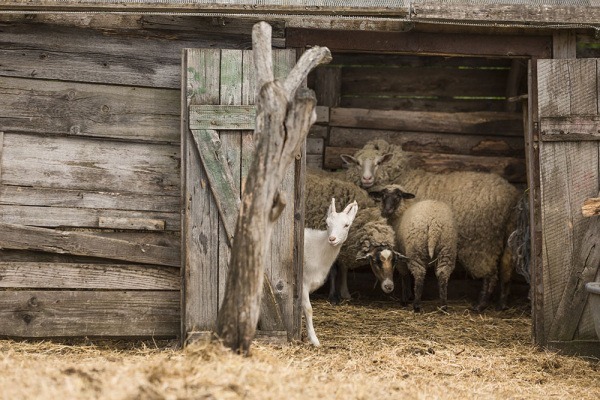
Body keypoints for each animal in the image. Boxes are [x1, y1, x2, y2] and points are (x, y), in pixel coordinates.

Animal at [302, 198, 358, 346]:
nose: (332, 239)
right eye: (327, 224)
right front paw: (314, 340)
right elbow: (308, 309)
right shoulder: (303, 282)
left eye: (346, 225)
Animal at [304, 171, 408, 300]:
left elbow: (344, 268)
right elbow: (333, 270)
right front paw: (333, 295)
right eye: (375, 261)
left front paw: (345, 293)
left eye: (394, 262)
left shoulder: (345, 247)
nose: (389, 286)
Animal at [376, 184, 460, 312]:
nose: (386, 211)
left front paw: (404, 300)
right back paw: (443, 306)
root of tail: (434, 224)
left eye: (398, 196)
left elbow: (404, 276)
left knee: (419, 274)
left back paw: (416, 305)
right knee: (443, 274)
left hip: (415, 249)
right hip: (447, 248)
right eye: (382, 195)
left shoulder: (400, 254)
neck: (401, 213)